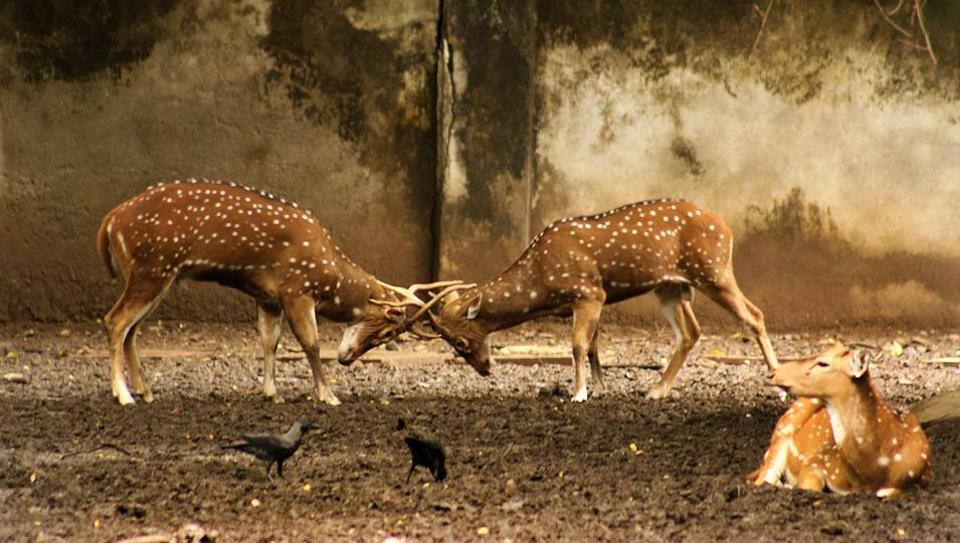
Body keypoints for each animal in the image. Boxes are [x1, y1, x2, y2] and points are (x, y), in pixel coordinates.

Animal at [95, 181, 440, 406]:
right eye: (387, 331)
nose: (347, 359)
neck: (330, 274)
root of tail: (110, 221)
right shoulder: (296, 289)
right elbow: (311, 343)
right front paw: (328, 395)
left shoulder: (268, 297)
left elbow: (269, 342)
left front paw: (273, 393)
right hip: (151, 269)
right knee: (115, 320)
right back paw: (123, 395)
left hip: (158, 278)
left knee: (131, 329)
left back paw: (146, 391)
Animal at [404, 199, 780, 400]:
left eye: (460, 342)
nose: (484, 369)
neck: (541, 281)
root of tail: (727, 228)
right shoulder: (593, 298)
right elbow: (595, 345)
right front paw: (600, 388)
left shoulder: (588, 292)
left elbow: (577, 345)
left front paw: (579, 393)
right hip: (670, 287)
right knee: (691, 331)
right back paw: (657, 390)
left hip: (713, 271)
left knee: (755, 315)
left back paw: (778, 385)